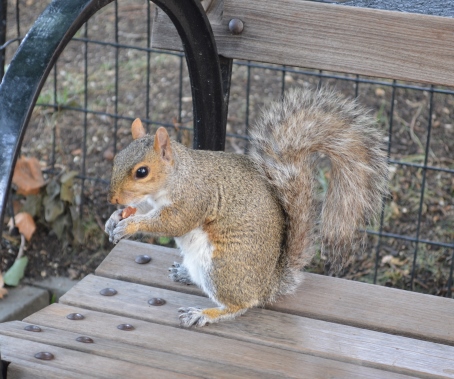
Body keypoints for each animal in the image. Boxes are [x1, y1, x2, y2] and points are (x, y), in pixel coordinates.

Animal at [104, 87, 388, 328]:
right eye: (116, 159)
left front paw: (129, 225)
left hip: (222, 267)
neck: (175, 177)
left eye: (142, 172)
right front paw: (114, 219)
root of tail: (269, 285)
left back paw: (204, 313)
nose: (113, 199)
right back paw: (185, 274)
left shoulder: (195, 197)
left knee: (241, 304)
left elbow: (174, 222)